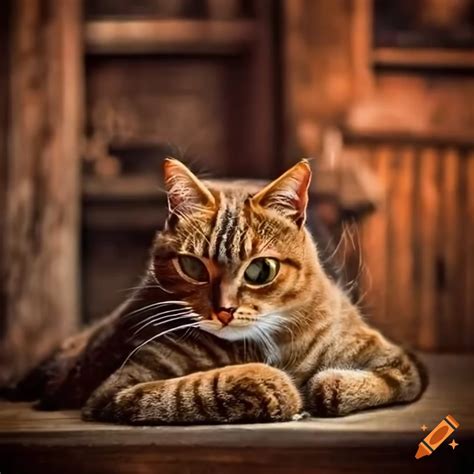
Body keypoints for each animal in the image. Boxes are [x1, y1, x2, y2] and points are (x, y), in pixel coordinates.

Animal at [4, 157, 426, 424]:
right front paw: (279, 388)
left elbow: (382, 380)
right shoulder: (118, 390)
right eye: (192, 267)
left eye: (260, 270)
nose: (223, 310)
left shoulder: (396, 360)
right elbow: (196, 387)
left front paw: (327, 385)